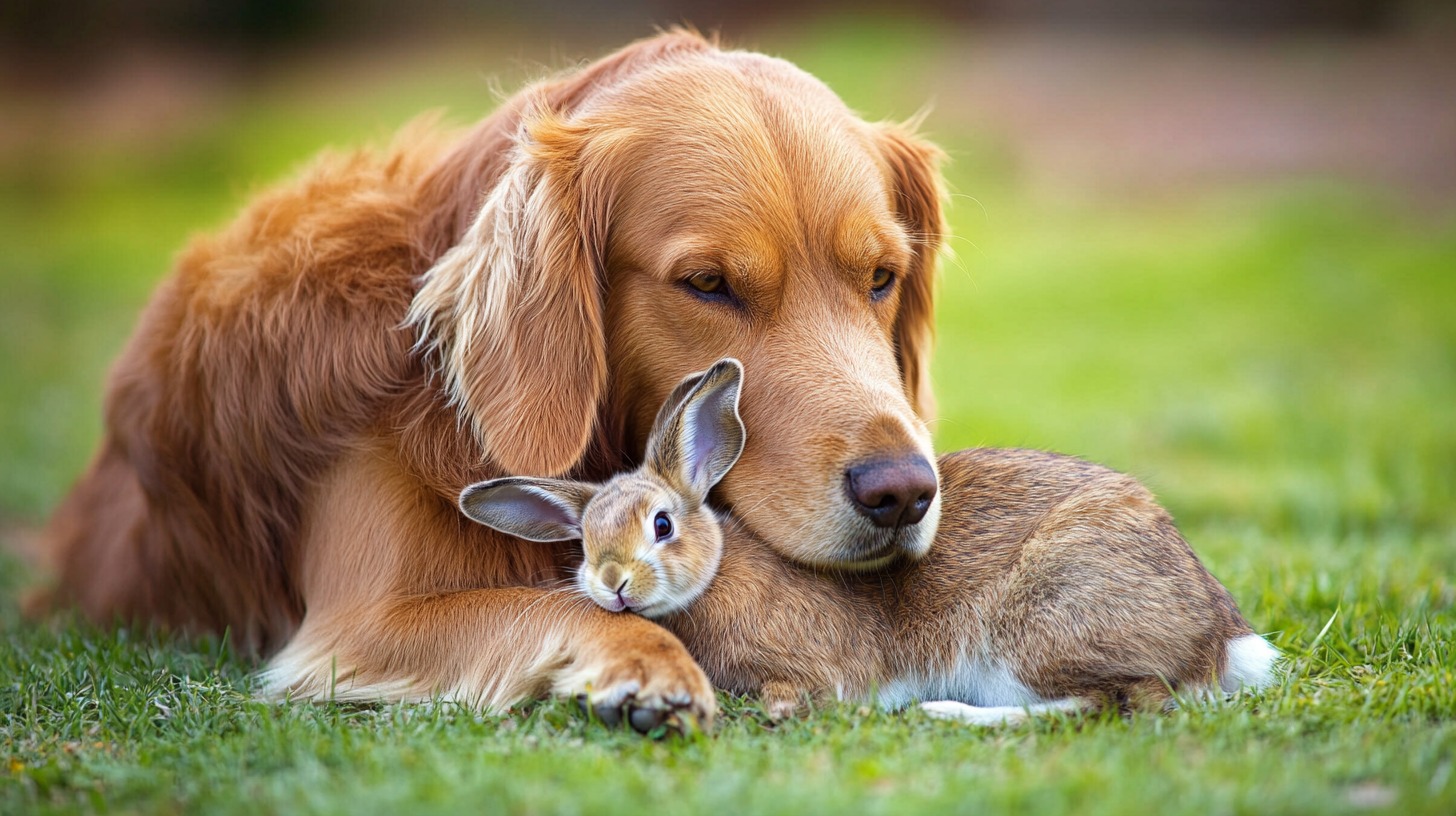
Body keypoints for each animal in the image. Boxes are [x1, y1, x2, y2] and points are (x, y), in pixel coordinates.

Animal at [454, 359, 1275, 722]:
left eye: (662, 524)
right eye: (585, 542)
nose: (614, 585)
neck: (719, 574)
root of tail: (1215, 635)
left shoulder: (821, 669)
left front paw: (777, 712)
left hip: (1038, 629)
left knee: (1120, 701)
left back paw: (949, 714)